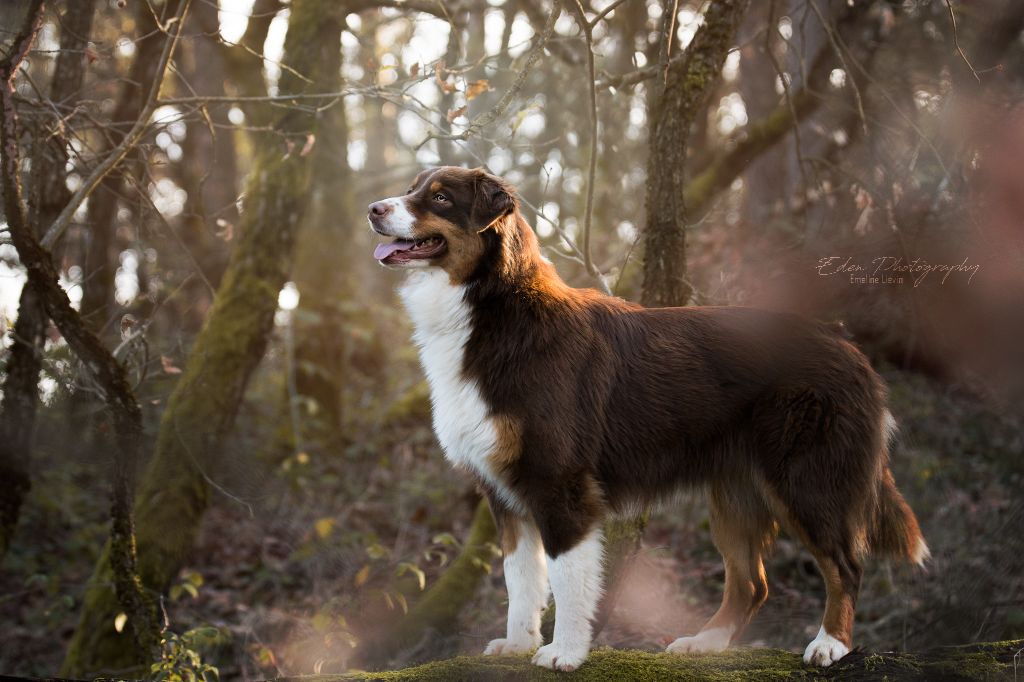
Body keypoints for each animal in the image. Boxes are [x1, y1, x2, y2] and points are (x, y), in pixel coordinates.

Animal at [368, 165, 929, 667]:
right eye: (415, 187)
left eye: (440, 198)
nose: (373, 209)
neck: (493, 308)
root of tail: (851, 348)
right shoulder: (505, 493)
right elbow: (521, 579)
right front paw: (518, 643)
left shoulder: (560, 484)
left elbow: (567, 579)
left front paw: (565, 652)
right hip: (735, 490)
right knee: (751, 582)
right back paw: (706, 643)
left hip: (808, 481)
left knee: (845, 566)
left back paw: (830, 644)